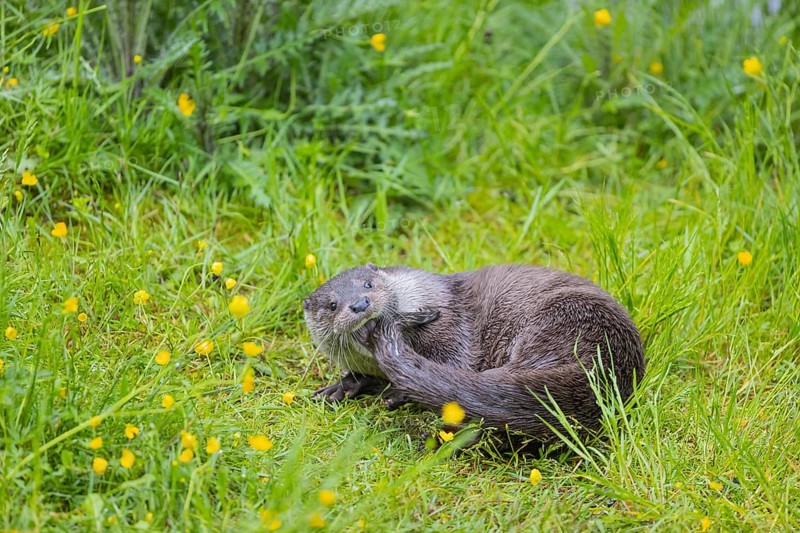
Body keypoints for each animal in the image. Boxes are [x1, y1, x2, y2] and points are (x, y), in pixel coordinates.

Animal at [303, 263, 644, 441]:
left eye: (368, 284)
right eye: (332, 305)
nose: (360, 304)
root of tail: (606, 369)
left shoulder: (451, 324)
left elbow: (456, 360)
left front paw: (396, 393)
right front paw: (341, 386)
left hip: (557, 321)